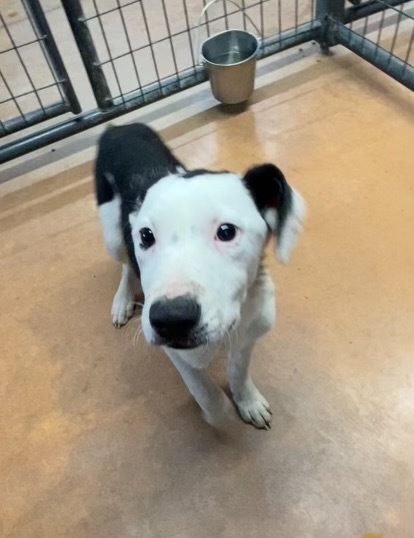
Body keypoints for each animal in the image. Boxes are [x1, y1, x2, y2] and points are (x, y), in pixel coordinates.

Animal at [95, 121, 306, 428]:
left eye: (227, 231)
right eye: (146, 236)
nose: (171, 320)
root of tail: (119, 126)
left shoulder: (250, 335)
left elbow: (238, 370)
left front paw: (248, 401)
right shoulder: (178, 353)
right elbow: (206, 393)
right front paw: (220, 413)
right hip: (112, 233)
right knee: (125, 263)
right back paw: (122, 300)